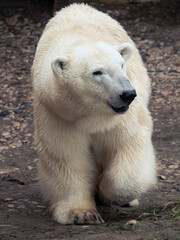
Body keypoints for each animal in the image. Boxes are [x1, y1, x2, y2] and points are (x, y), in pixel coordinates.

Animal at [31, 3, 157, 225]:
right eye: (97, 72)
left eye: (121, 65)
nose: (127, 94)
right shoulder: (57, 113)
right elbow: (67, 155)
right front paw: (82, 213)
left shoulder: (120, 118)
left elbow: (128, 143)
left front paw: (108, 194)